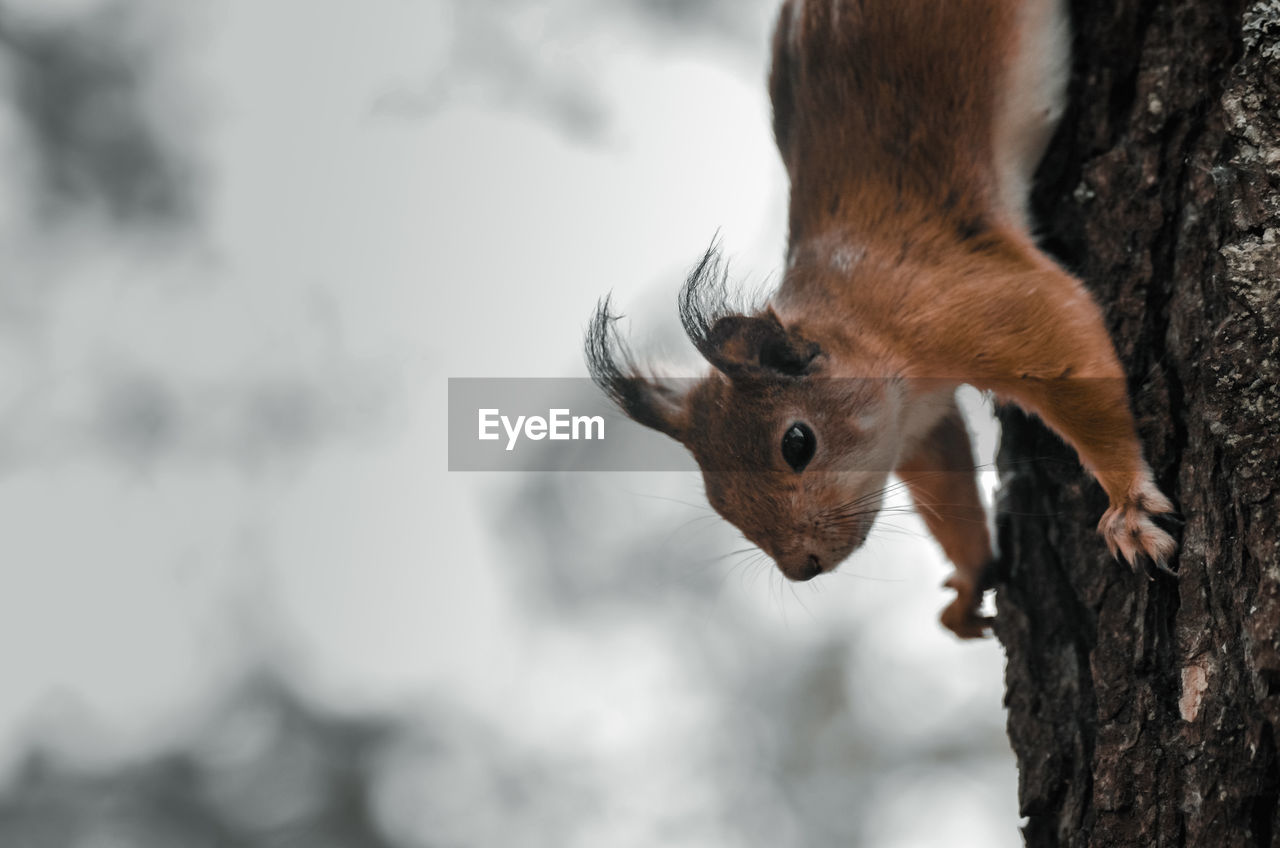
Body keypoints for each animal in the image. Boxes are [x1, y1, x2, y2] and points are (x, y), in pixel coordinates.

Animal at [586, 0, 1172, 637]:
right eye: (716, 496)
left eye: (797, 443)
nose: (803, 569)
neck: (866, 326)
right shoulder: (915, 422)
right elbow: (945, 487)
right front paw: (971, 582)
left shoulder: (975, 299)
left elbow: (1066, 348)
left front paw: (1128, 506)